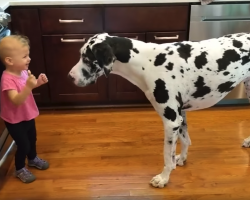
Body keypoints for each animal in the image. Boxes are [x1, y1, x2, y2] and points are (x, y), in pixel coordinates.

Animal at [67, 32, 250, 188]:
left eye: (86, 58)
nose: (70, 76)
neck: (146, 62)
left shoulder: (171, 121)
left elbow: (167, 155)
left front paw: (163, 178)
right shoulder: (180, 116)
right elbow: (185, 141)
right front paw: (181, 159)